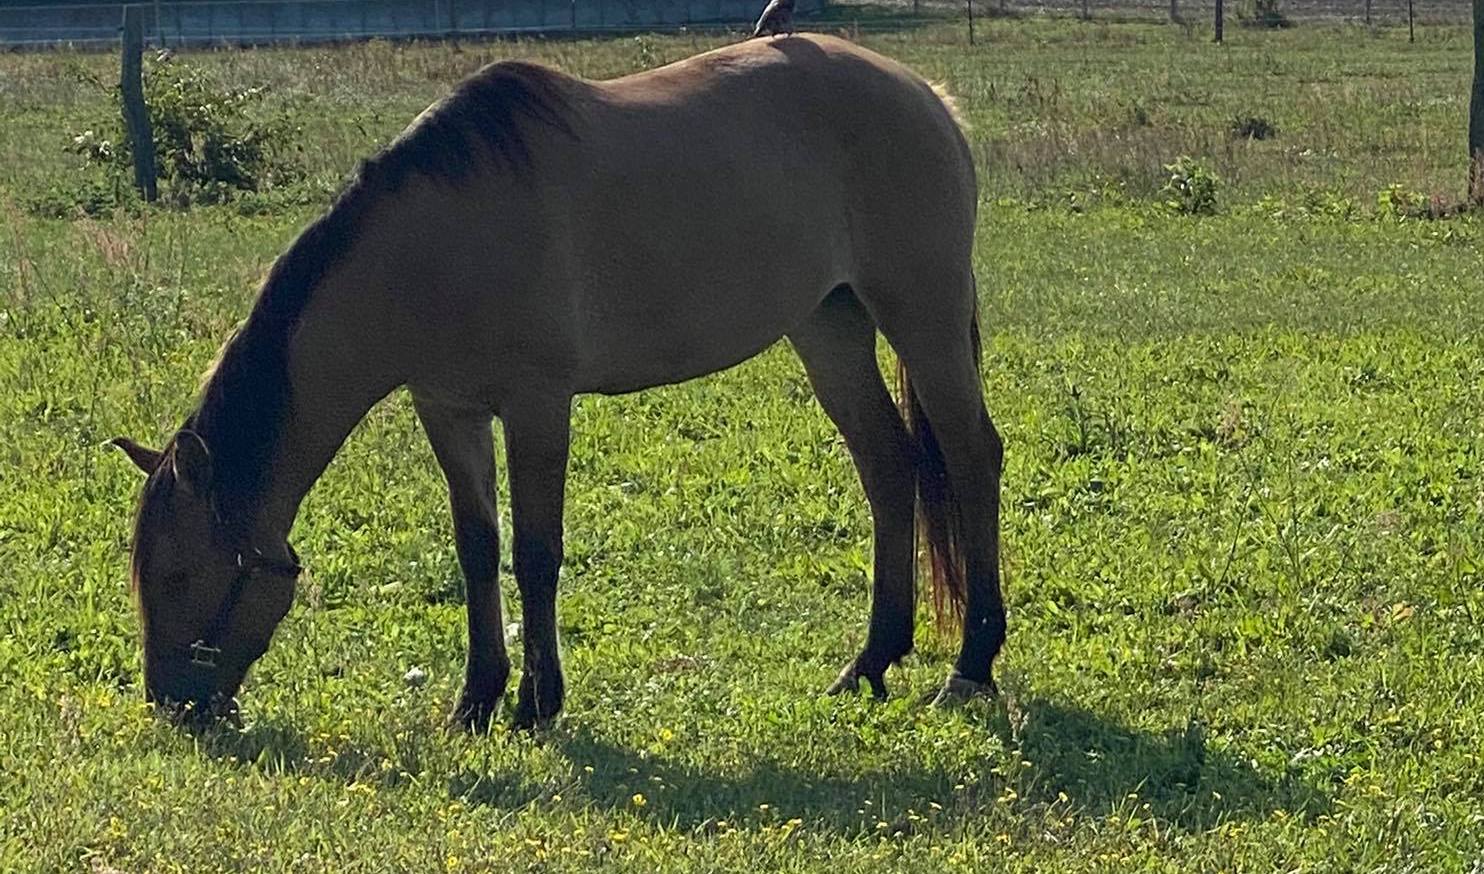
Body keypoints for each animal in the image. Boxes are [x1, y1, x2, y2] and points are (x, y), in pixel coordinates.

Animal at [109, 34, 1003, 730]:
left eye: (177, 573)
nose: (172, 706)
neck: (432, 249)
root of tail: (926, 95)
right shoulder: (449, 410)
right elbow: (477, 548)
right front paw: (475, 701)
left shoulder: (538, 407)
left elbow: (536, 553)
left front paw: (537, 703)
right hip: (829, 326)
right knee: (887, 463)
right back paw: (871, 662)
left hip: (920, 315)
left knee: (971, 456)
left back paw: (971, 666)